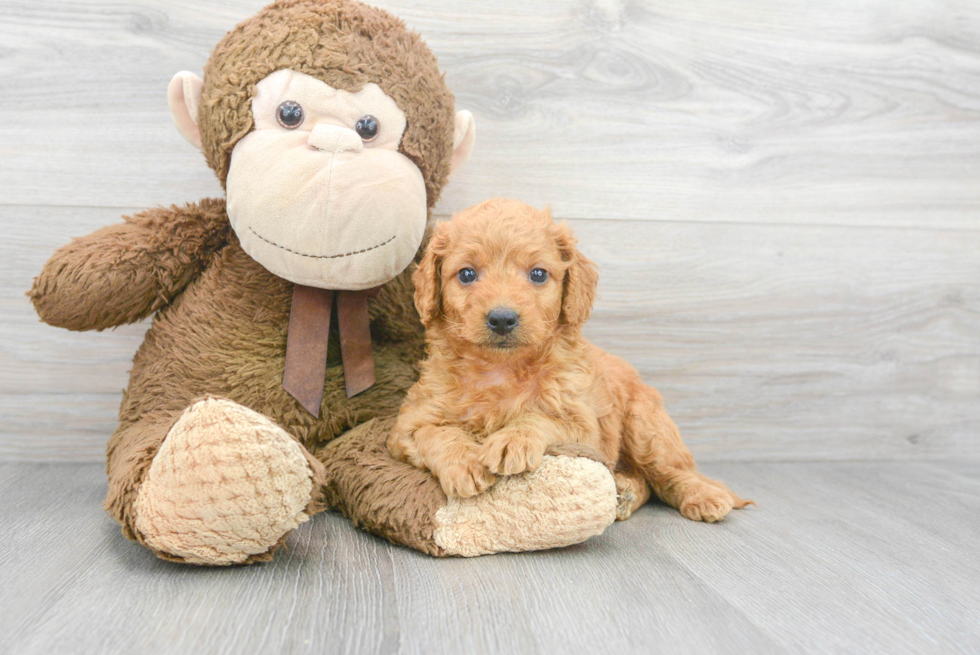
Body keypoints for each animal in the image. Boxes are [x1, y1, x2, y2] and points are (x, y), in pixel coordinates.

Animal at [390, 200, 752, 524]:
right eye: (466, 274)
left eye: (538, 274)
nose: (502, 319)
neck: (501, 368)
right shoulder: (407, 425)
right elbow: (436, 433)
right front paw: (463, 461)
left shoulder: (584, 428)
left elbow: (539, 417)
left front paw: (512, 440)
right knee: (645, 482)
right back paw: (625, 493)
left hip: (646, 426)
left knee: (671, 473)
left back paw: (702, 497)